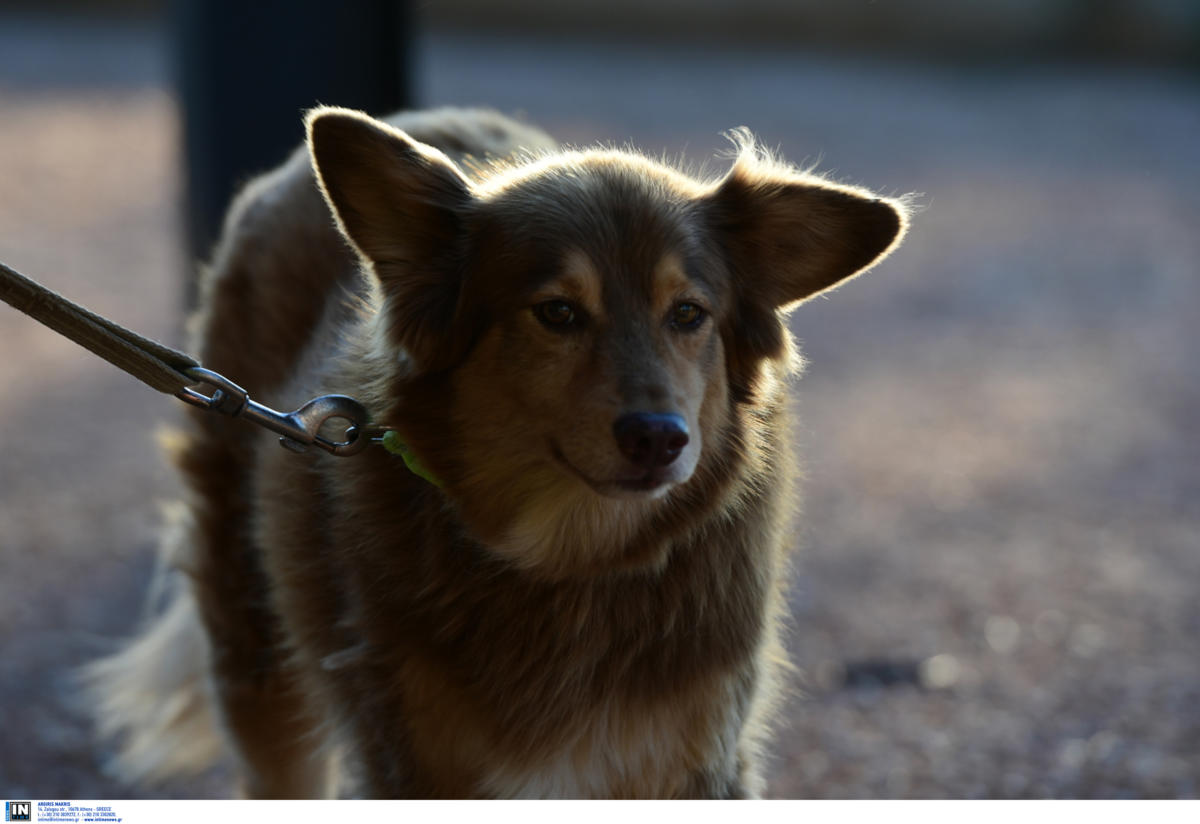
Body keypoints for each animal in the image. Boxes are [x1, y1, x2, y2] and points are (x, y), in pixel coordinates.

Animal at [84, 106, 902, 796]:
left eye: (689, 313)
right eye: (558, 312)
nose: (661, 439)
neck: (572, 566)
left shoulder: (696, 758)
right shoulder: (417, 760)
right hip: (255, 645)